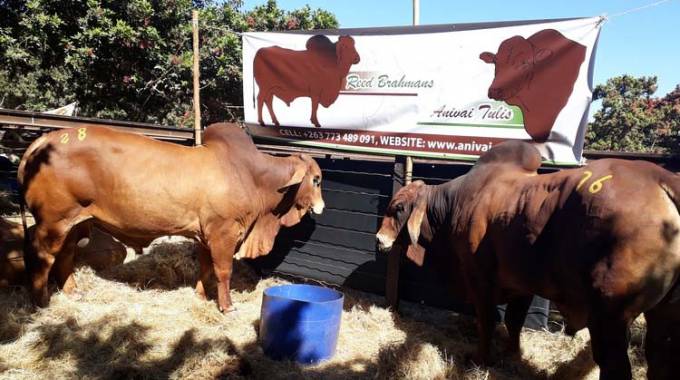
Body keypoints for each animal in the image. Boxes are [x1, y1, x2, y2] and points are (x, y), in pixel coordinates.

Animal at [16, 123, 324, 314]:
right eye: (317, 180)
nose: (321, 206)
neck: (252, 176)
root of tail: (42, 141)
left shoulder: (205, 235)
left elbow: (205, 268)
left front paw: (200, 295)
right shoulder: (223, 233)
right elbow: (223, 271)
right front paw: (227, 306)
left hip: (75, 223)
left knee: (66, 255)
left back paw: (71, 292)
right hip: (53, 222)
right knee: (42, 255)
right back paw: (41, 300)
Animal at [378, 141, 680, 378]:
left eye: (398, 208)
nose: (380, 239)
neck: (453, 206)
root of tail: (661, 179)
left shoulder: (479, 279)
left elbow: (487, 321)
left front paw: (481, 359)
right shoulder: (520, 285)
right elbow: (514, 321)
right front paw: (514, 355)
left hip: (610, 315)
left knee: (615, 365)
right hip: (662, 314)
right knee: (659, 359)